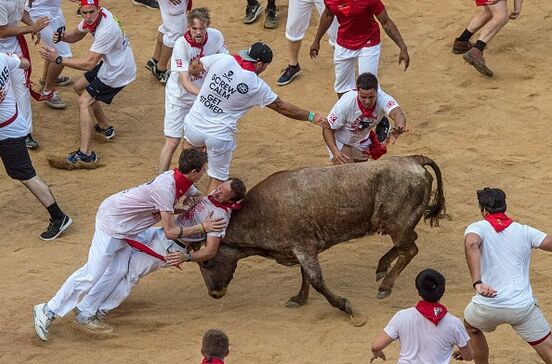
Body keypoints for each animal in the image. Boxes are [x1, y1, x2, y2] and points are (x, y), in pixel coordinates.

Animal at [198, 155, 448, 326]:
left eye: (206, 261)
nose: (214, 293)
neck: (260, 212)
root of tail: (413, 159)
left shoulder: (304, 248)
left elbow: (316, 280)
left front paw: (348, 309)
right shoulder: (301, 249)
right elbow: (305, 276)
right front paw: (299, 299)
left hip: (397, 224)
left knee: (410, 249)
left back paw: (385, 285)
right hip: (398, 224)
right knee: (407, 243)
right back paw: (381, 268)